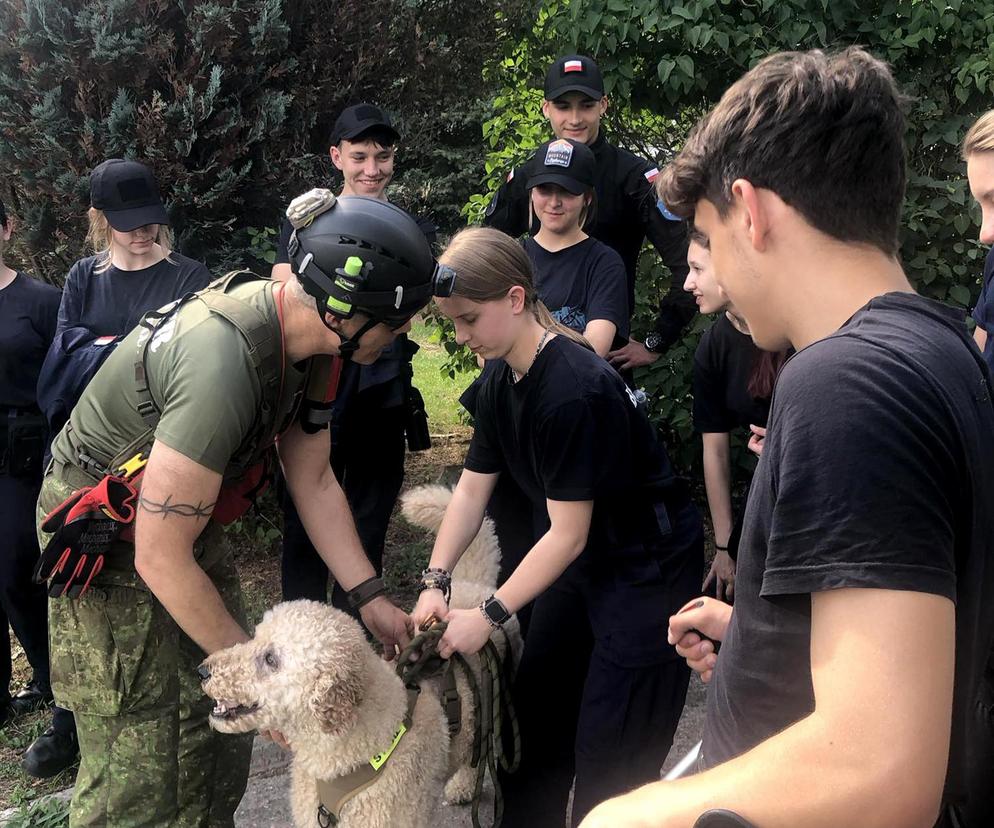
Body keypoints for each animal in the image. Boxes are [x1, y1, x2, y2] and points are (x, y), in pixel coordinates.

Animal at [198, 486, 516, 828]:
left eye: (271, 659)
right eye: (255, 636)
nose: (202, 670)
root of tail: (475, 585)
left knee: (477, 757)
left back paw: (463, 785)